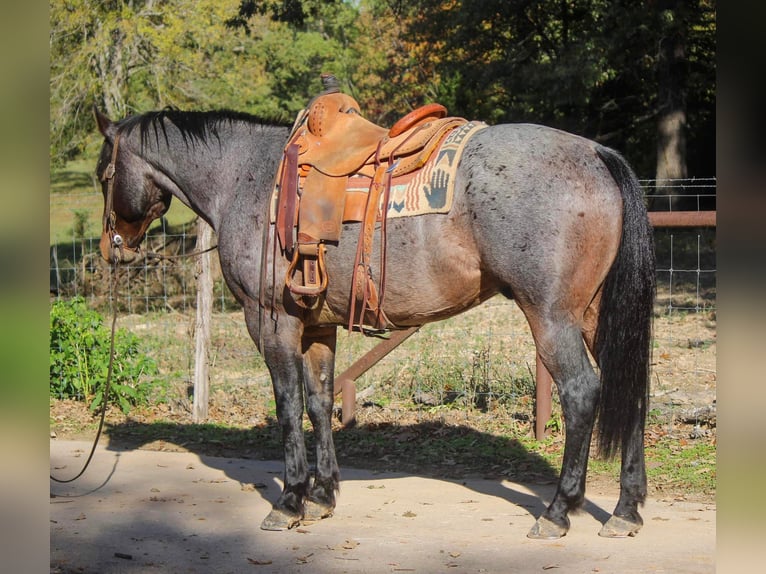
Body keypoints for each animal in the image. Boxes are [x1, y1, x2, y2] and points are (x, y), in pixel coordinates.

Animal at [94, 104, 656, 544]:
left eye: (104, 175)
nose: (110, 249)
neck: (244, 179)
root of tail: (596, 154)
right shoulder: (318, 327)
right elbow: (319, 402)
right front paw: (323, 495)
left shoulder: (271, 321)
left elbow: (287, 405)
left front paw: (290, 500)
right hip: (594, 317)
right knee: (631, 392)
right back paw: (625, 511)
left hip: (552, 317)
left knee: (582, 393)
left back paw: (558, 511)